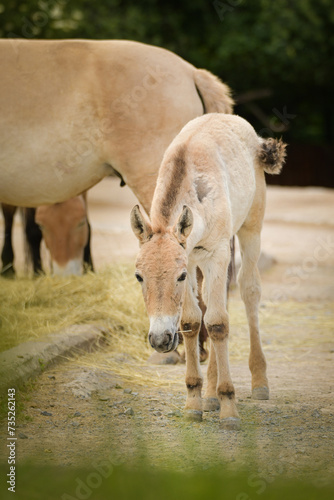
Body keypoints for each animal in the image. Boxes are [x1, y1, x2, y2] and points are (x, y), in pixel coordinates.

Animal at [132, 114, 286, 430]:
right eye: (139, 276)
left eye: (178, 277)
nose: (160, 340)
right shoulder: (191, 257)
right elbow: (192, 321)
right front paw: (194, 402)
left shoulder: (214, 255)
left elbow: (217, 323)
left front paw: (229, 409)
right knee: (216, 300)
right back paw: (211, 395)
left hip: (251, 229)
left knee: (248, 290)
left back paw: (258, 382)